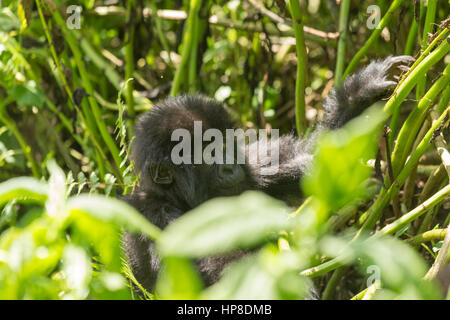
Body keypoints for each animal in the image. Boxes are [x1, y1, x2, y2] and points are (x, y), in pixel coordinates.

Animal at [121, 54, 414, 292]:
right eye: (208, 153)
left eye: (225, 145)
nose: (231, 166)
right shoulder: (155, 216)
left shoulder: (253, 169)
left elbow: (317, 158)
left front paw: (362, 90)